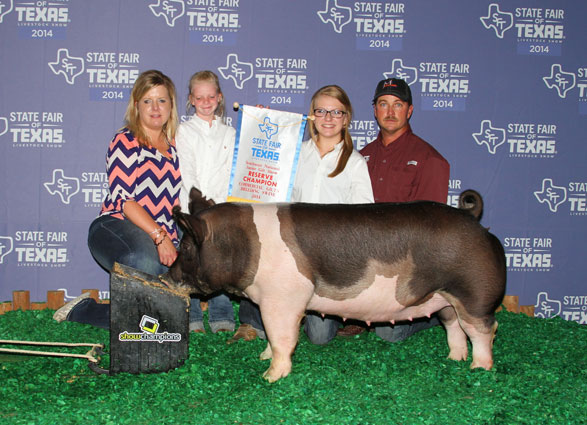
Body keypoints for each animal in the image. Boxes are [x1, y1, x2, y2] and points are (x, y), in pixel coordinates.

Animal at [164, 188, 506, 380]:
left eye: (186, 246)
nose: (168, 275)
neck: (243, 244)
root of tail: (473, 218)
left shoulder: (285, 298)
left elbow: (282, 337)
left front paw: (269, 376)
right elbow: (271, 336)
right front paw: (263, 357)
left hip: (474, 294)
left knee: (484, 329)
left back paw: (479, 369)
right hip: (444, 298)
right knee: (454, 327)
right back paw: (454, 360)